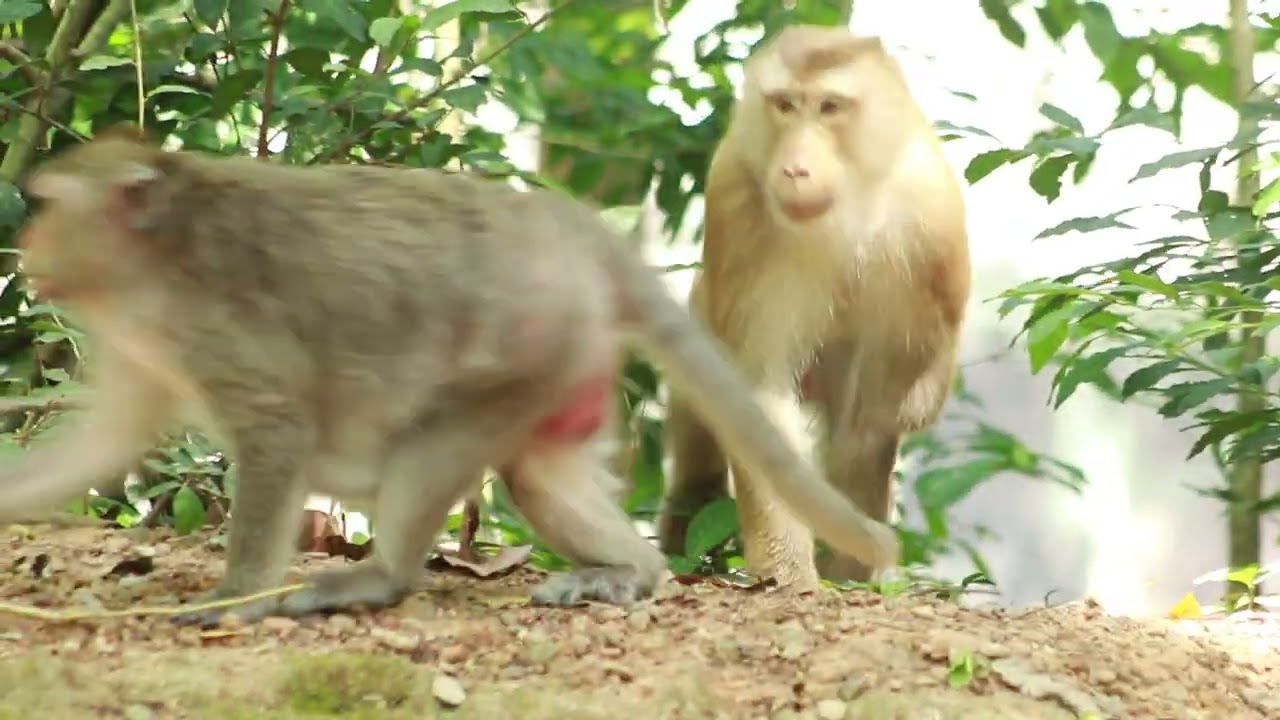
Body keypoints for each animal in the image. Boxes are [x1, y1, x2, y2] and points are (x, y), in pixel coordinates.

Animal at [0, 128, 898, 627]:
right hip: (567, 364)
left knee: (431, 445)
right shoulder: (134, 344)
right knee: (538, 476)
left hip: (532, 347)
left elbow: (278, 435)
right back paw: (630, 574)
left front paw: (237, 598)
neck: (154, 259)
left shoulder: (215, 331)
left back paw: (381, 578)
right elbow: (100, 444)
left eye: (47, 204)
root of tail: (571, 232)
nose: (28, 244)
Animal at [658, 25, 971, 586]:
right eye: (785, 105)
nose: (795, 169)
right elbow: (755, 395)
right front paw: (789, 571)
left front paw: (847, 566)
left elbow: (880, 413)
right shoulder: (735, 199)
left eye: (829, 107)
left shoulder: (930, 225)